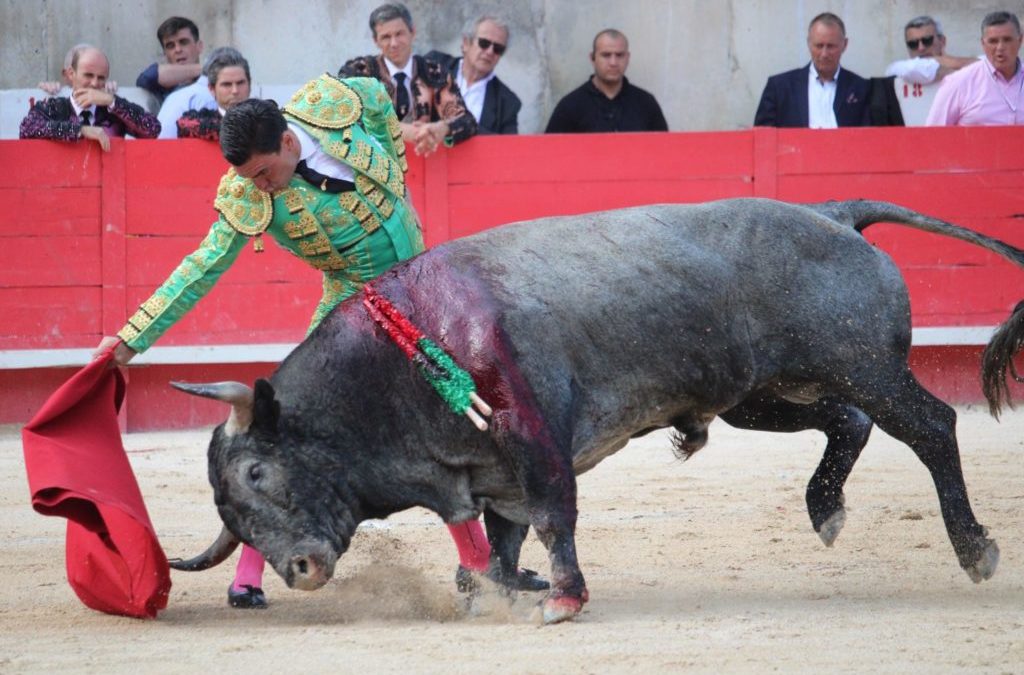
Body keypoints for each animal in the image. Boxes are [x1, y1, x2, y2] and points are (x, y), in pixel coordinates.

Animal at [169, 199, 1024, 622]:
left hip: (866, 366)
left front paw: (563, 597)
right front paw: (508, 591)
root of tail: (835, 213)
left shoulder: (531, 434)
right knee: (849, 422)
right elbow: (498, 548)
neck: (405, 353)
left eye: (257, 470)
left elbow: (552, 517)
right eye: (233, 516)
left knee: (931, 426)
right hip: (764, 392)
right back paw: (826, 509)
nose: (301, 570)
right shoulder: (489, 471)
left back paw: (975, 548)